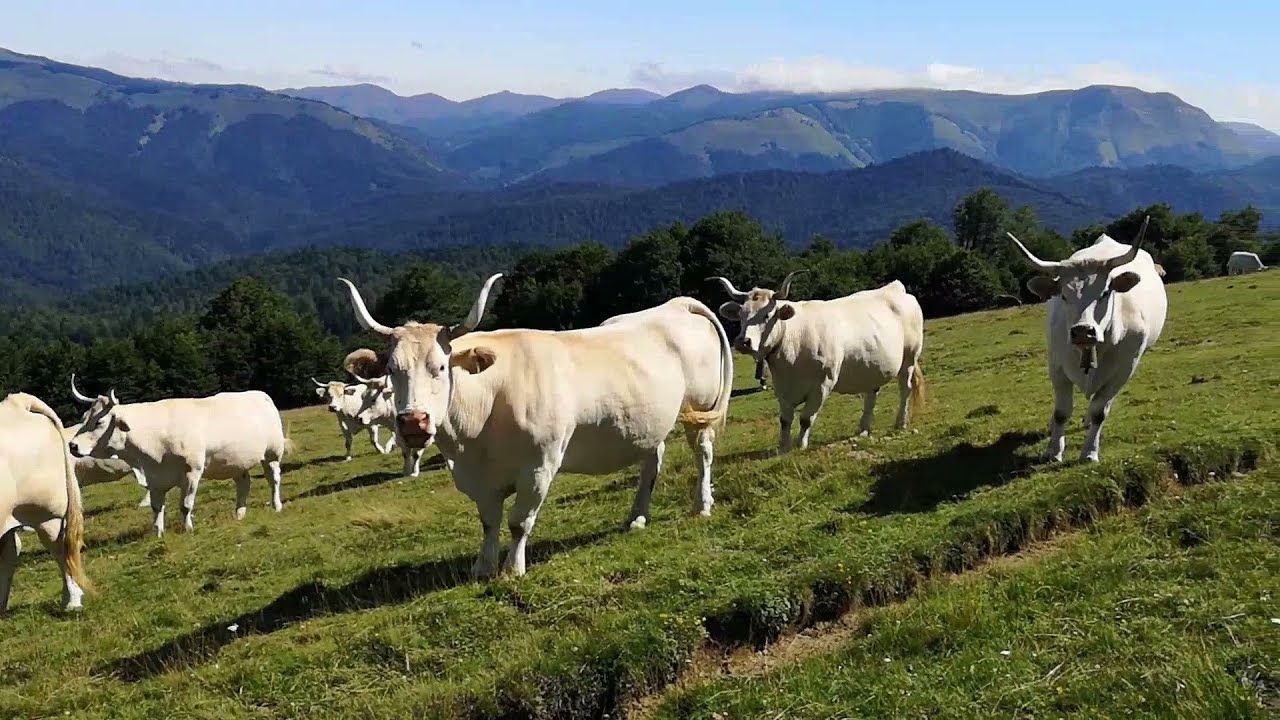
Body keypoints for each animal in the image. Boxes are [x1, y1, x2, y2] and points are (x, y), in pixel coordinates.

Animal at [68, 389, 288, 536]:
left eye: (99, 422)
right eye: (84, 418)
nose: (72, 445)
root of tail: (260, 394)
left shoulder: (192, 472)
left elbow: (185, 504)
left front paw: (187, 528)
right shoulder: (155, 478)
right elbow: (157, 507)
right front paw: (158, 533)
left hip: (272, 453)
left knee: (273, 479)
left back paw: (276, 505)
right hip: (237, 462)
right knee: (243, 483)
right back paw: (240, 513)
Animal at [338, 272, 733, 578]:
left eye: (441, 367)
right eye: (392, 370)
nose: (413, 421)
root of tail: (676, 305)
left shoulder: (539, 465)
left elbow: (519, 521)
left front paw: (513, 569)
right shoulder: (477, 477)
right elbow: (489, 521)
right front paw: (483, 567)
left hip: (700, 408)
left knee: (703, 452)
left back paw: (702, 505)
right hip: (650, 420)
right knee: (653, 459)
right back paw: (637, 517)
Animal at [711, 271, 926, 454]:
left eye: (767, 315)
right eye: (741, 316)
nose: (743, 341)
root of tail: (895, 288)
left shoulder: (823, 383)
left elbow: (806, 418)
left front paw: (800, 445)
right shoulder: (782, 387)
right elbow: (785, 420)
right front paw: (783, 447)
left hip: (909, 358)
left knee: (905, 389)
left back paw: (901, 422)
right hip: (873, 366)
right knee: (871, 395)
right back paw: (863, 428)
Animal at [1007, 215, 1167, 463]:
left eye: (1105, 292)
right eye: (1063, 295)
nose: (1083, 331)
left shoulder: (1124, 370)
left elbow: (1100, 411)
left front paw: (1090, 452)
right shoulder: (1056, 366)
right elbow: (1061, 412)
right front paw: (1054, 452)